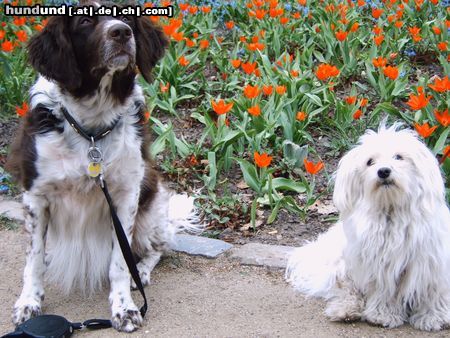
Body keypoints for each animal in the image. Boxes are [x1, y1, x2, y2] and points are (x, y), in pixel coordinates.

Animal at [6, 0, 200, 332]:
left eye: (126, 17)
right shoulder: (36, 196)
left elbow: (120, 262)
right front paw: (28, 302)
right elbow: (34, 258)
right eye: (84, 21)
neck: (91, 127)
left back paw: (142, 272)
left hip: (151, 204)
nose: (121, 32)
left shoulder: (126, 196)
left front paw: (124, 308)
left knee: (158, 247)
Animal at [286, 123, 450, 330]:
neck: (391, 210)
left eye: (399, 157)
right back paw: (345, 310)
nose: (384, 171)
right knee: (346, 289)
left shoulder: (431, 263)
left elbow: (433, 293)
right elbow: (383, 292)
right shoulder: (379, 265)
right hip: (344, 264)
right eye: (370, 161)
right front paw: (382, 315)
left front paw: (433, 317)